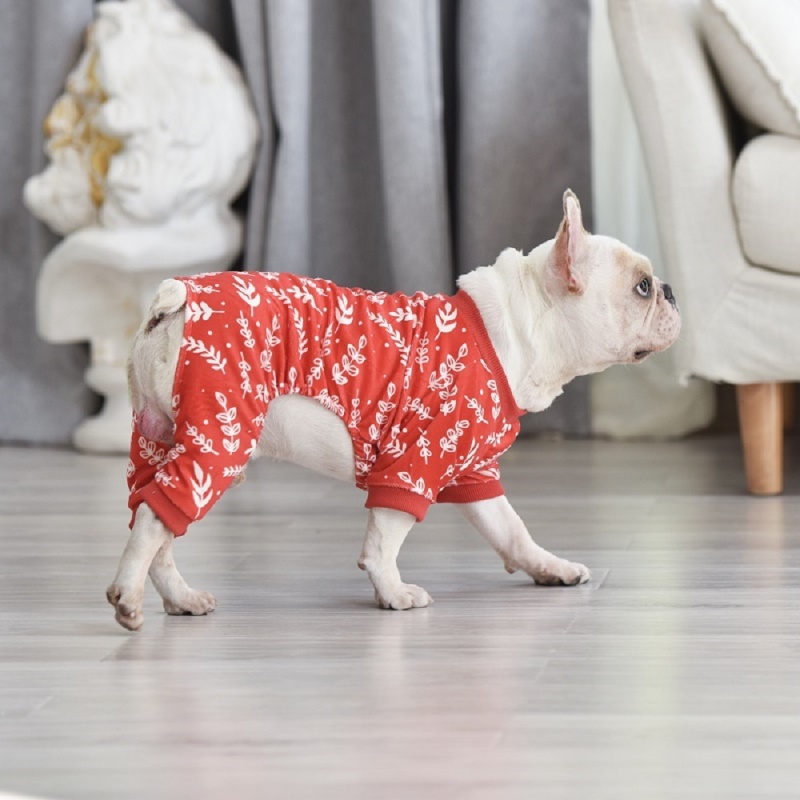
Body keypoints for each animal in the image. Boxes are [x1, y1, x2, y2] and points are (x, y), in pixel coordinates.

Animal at [106, 191, 680, 628]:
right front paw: (394, 593)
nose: (672, 290)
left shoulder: (474, 473)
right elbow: (385, 537)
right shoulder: (411, 465)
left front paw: (550, 568)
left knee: (151, 515)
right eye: (642, 287)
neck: (513, 332)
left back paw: (180, 599)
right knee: (158, 519)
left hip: (158, 440)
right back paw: (127, 600)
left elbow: (511, 530)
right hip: (219, 439)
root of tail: (176, 300)